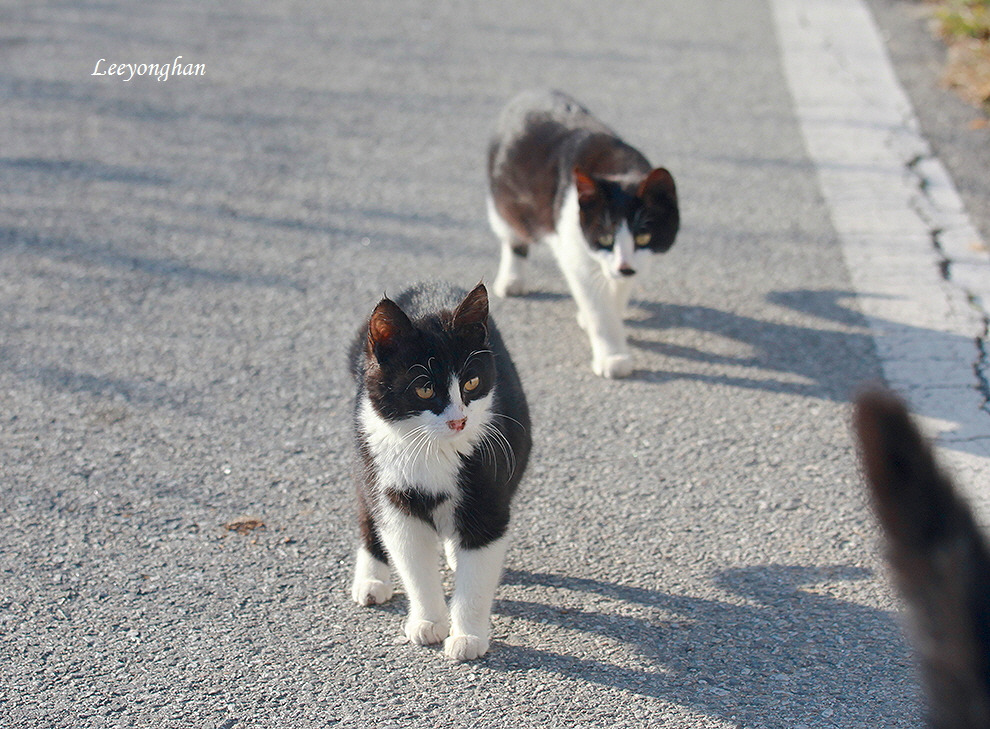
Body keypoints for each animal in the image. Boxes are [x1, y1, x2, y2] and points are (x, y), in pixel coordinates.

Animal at [350, 278, 536, 660]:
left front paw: (467, 637)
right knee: (366, 509)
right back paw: (372, 579)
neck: (433, 449)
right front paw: (428, 622)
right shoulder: (392, 493)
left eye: (471, 383)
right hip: (367, 456)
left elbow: (477, 572)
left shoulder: (487, 492)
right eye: (424, 389)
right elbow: (413, 561)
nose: (458, 421)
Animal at [488, 88, 680, 378]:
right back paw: (511, 279)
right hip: (503, 198)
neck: (619, 170)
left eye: (643, 237)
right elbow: (597, 305)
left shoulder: (633, 263)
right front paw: (612, 355)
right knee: (513, 234)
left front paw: (603, 315)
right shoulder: (574, 247)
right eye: (605, 238)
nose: (625, 268)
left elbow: (615, 293)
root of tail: (534, 92)